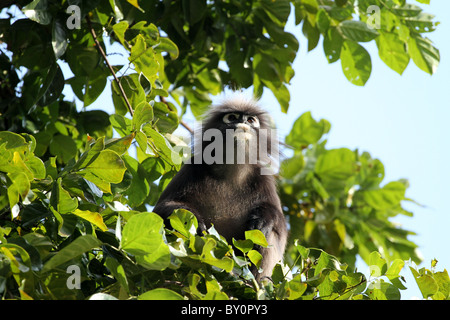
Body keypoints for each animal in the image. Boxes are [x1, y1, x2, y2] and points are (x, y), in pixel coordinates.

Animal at [154, 97, 288, 280]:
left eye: (251, 120)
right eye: (232, 117)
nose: (243, 123)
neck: (232, 170)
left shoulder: (263, 179)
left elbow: (279, 227)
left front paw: (263, 219)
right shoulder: (192, 167)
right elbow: (162, 208)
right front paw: (196, 222)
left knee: (268, 234)